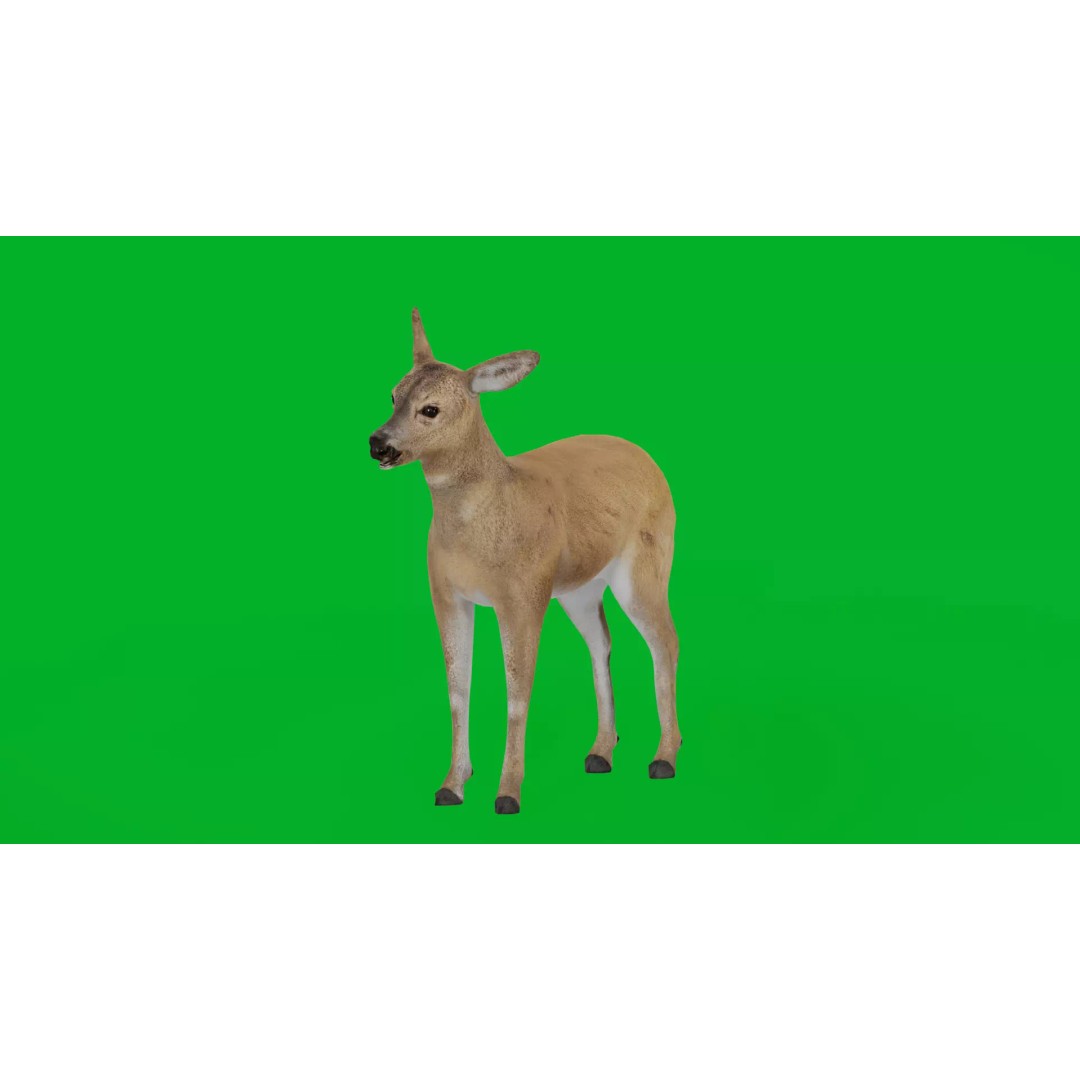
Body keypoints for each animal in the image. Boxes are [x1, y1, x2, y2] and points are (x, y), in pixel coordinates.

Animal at [369, 310, 681, 814]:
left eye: (430, 409)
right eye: (393, 395)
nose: (378, 443)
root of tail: (648, 458)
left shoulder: (522, 594)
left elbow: (517, 693)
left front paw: (508, 793)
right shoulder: (447, 594)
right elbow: (457, 690)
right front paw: (451, 785)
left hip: (646, 562)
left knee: (665, 641)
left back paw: (664, 757)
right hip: (578, 588)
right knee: (602, 643)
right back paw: (601, 751)